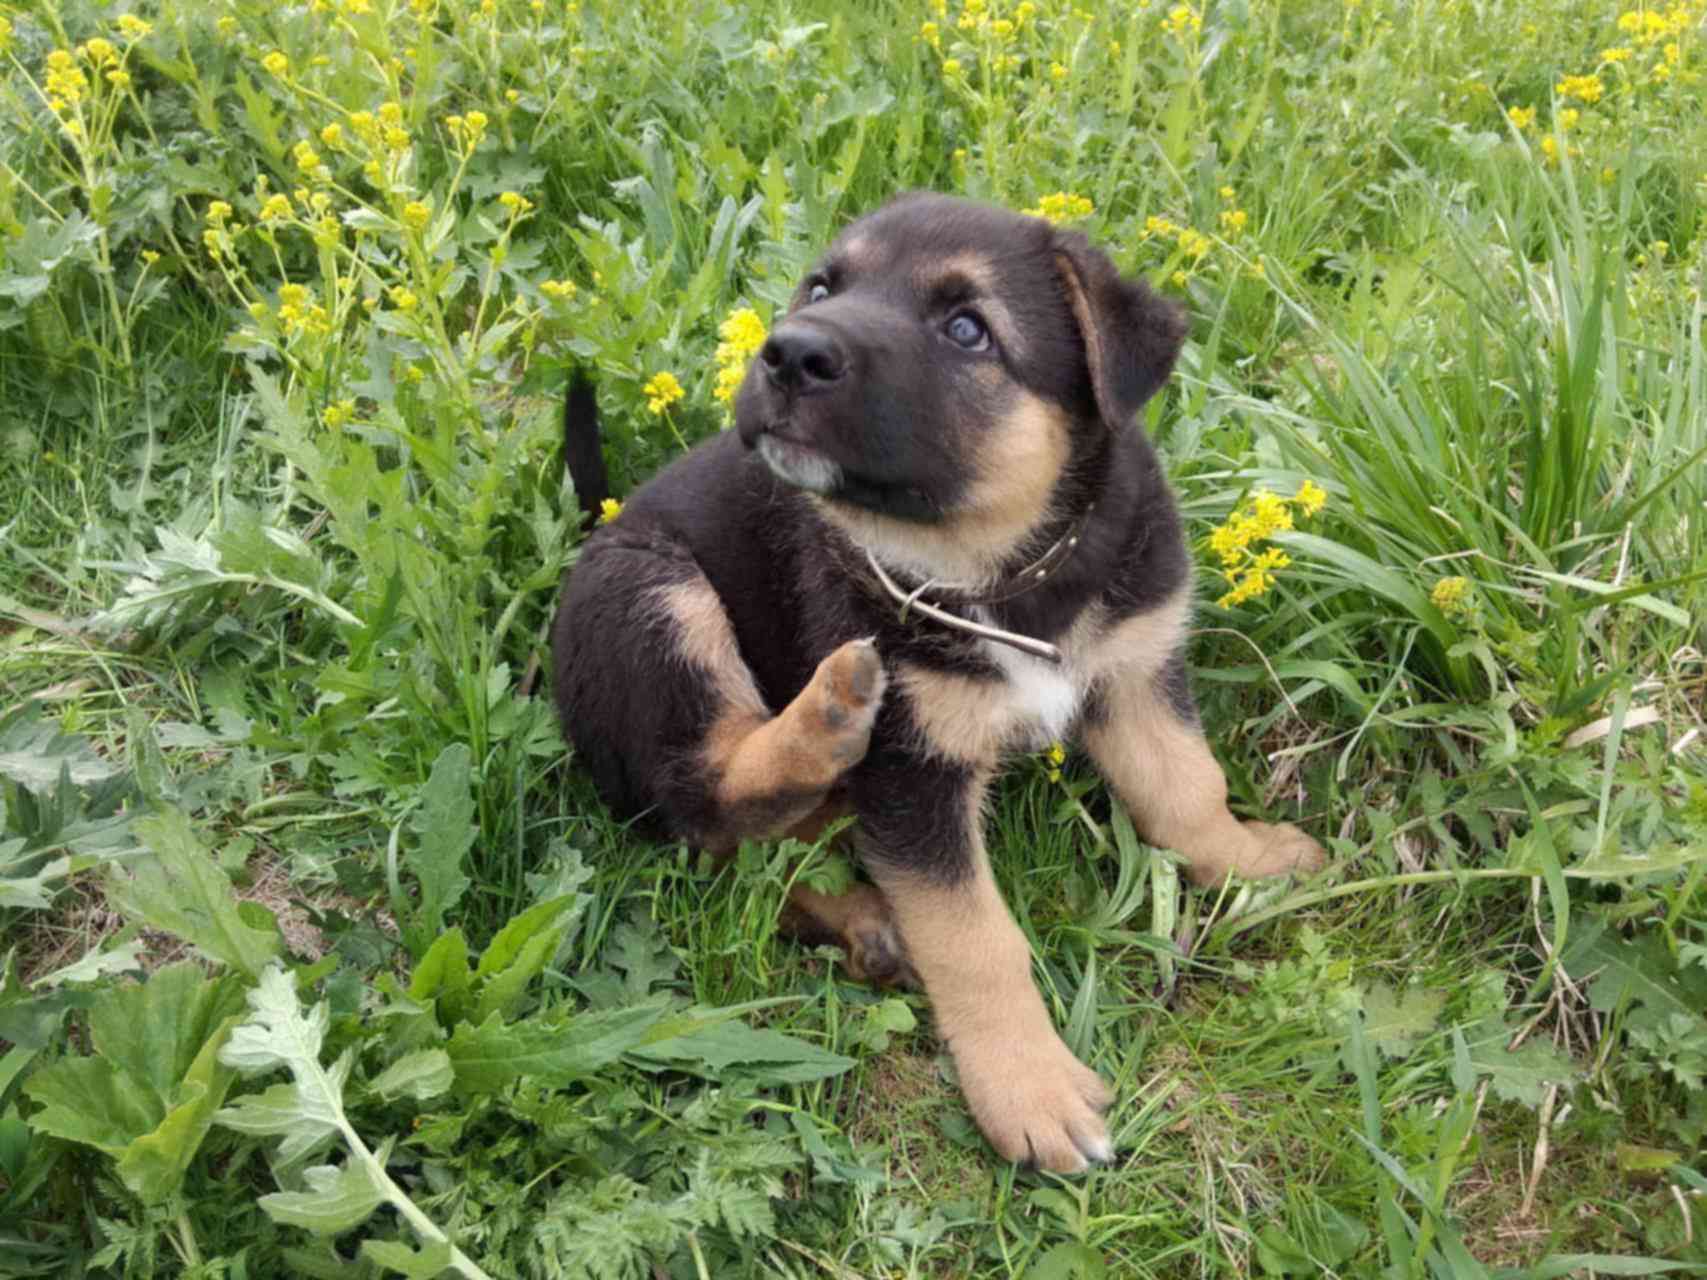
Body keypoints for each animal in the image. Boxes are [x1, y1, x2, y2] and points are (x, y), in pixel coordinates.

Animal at [553, 195, 1324, 1181]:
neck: (995, 572)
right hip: (657, 595)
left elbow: (1185, 787)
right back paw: (825, 716)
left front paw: (1252, 862)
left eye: (967, 330)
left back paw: (866, 920)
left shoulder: (1133, 671)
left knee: (752, 846)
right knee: (705, 797)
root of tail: (597, 533)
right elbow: (973, 938)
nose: (788, 352)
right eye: (821, 287)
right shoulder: (912, 773)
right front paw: (1029, 1091)